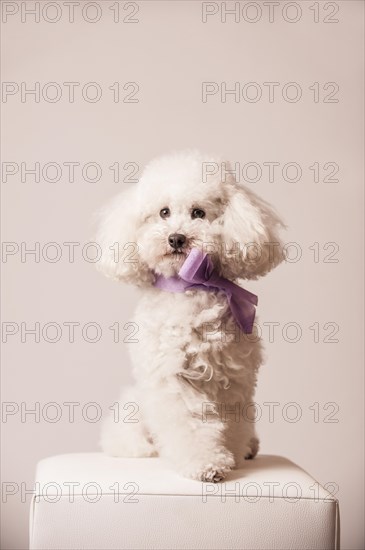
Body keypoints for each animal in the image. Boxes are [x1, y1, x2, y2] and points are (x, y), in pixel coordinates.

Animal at [96, 151, 284, 484]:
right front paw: (207, 463)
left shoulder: (234, 379)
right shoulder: (173, 378)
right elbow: (190, 423)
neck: (190, 284)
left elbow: (233, 424)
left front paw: (230, 454)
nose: (177, 238)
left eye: (199, 213)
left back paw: (249, 447)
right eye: (163, 212)